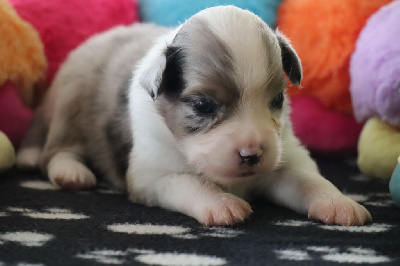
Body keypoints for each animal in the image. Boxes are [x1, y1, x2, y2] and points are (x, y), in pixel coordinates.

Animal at [16, 6, 372, 225]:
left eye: (278, 99)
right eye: (202, 106)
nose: (252, 154)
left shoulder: (285, 157)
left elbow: (308, 180)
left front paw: (340, 204)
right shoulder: (153, 173)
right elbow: (190, 182)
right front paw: (221, 203)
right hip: (70, 102)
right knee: (57, 150)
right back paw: (71, 173)